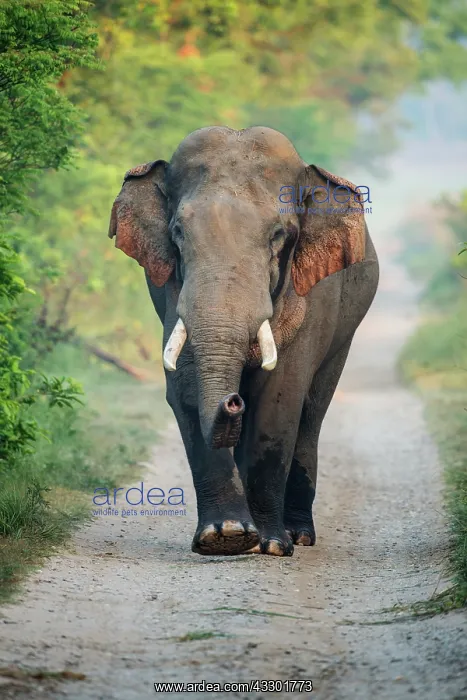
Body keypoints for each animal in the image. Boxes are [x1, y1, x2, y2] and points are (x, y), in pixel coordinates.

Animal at [108, 126, 379, 557]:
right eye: (177, 233)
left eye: (278, 235)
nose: (232, 401)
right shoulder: (171, 291)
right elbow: (186, 387)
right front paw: (226, 536)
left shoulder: (310, 295)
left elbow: (280, 397)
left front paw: (271, 546)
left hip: (345, 333)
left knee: (312, 412)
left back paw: (299, 535)